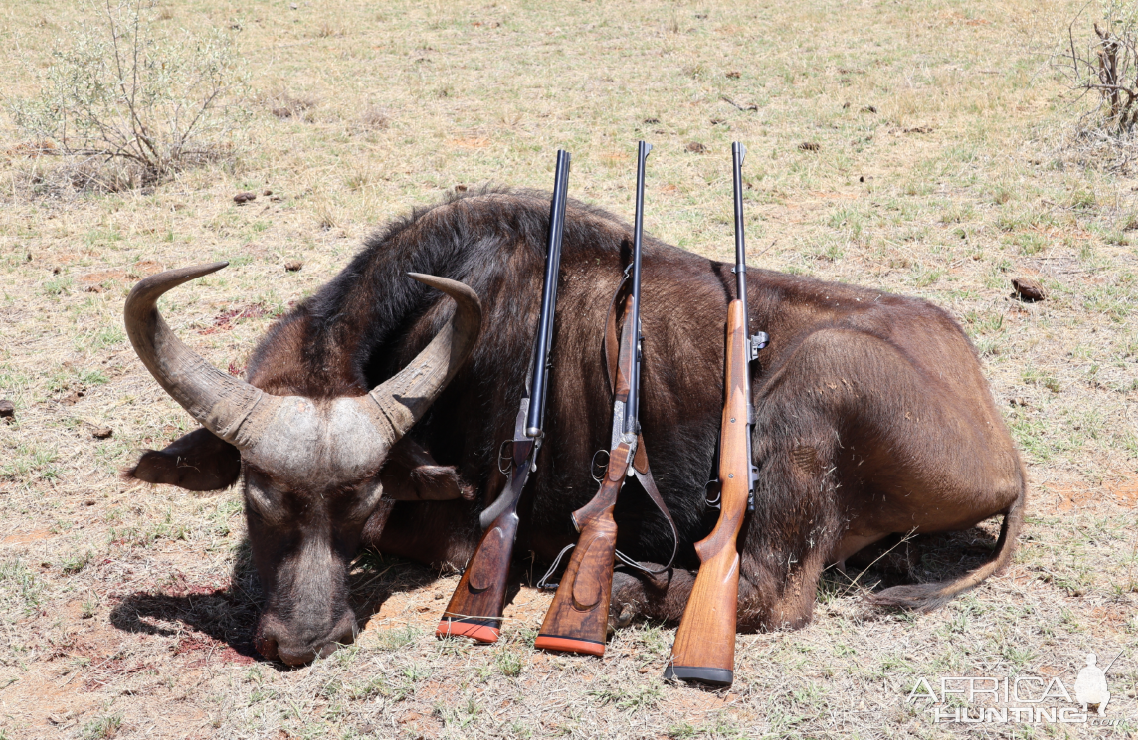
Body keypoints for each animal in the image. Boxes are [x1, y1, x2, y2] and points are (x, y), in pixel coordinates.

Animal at [122, 188, 1024, 664]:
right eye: (258, 497)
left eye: (362, 500)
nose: (307, 640)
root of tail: (1007, 463)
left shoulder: (459, 530)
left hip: (814, 387)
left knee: (773, 594)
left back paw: (621, 591)